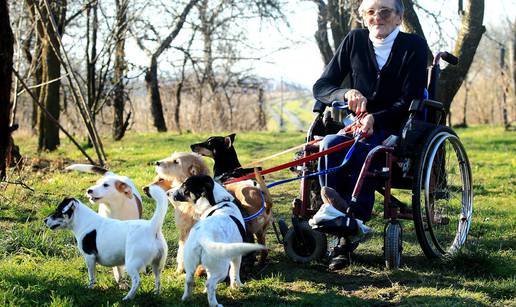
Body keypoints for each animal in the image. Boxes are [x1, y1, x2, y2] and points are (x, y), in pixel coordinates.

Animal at [170, 176, 264, 307]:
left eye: (184, 187)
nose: (170, 193)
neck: (220, 203)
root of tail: (203, 237)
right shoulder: (236, 255)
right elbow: (235, 273)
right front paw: (237, 286)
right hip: (221, 268)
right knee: (210, 283)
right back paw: (214, 304)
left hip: (191, 263)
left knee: (190, 280)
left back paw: (186, 298)